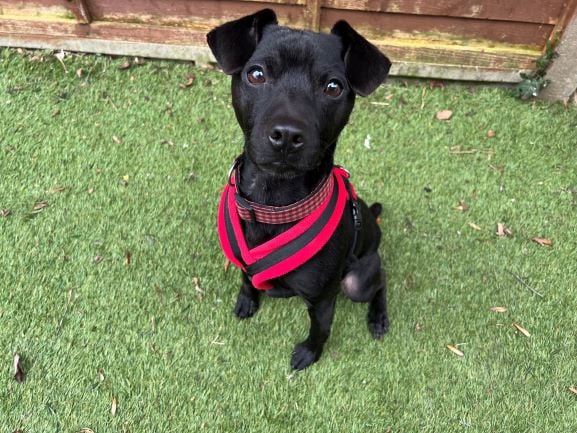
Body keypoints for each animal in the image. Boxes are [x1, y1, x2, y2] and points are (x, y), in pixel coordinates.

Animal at [207, 8, 392, 370]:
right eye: (256, 74)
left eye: (333, 87)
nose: (287, 135)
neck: (272, 204)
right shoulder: (246, 265)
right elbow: (247, 280)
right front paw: (247, 300)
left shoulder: (323, 300)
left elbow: (320, 329)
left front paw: (309, 353)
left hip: (356, 282)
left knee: (380, 283)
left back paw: (378, 317)